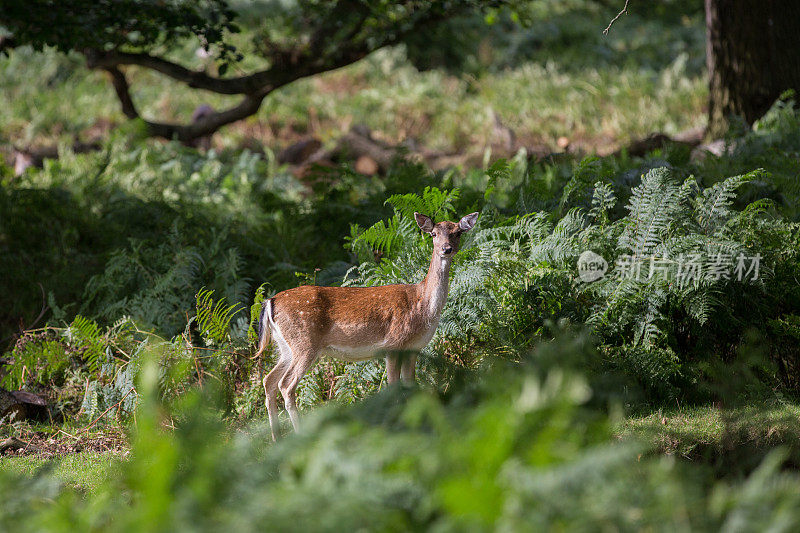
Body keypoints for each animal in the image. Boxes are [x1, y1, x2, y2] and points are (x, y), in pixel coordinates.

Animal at [253, 210, 478, 438]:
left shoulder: (413, 349)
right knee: (285, 385)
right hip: (304, 343)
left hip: (285, 346)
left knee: (269, 380)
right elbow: (393, 387)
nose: (446, 249)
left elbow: (411, 387)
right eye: (433, 234)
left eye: (458, 232)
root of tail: (270, 301)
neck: (422, 305)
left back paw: (276, 438)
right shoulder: (393, 344)